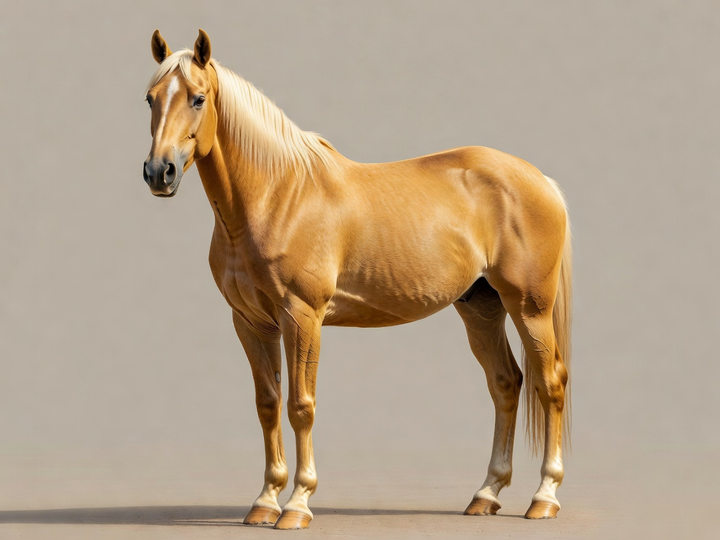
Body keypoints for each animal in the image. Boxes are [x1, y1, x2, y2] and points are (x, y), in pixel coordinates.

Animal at [142, 29, 572, 530]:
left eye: (198, 98)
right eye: (150, 98)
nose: (159, 172)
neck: (277, 195)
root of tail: (540, 179)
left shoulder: (302, 317)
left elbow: (300, 405)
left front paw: (297, 504)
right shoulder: (250, 322)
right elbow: (267, 405)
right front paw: (264, 503)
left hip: (529, 308)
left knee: (550, 383)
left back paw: (544, 497)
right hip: (481, 307)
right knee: (506, 383)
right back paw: (485, 494)